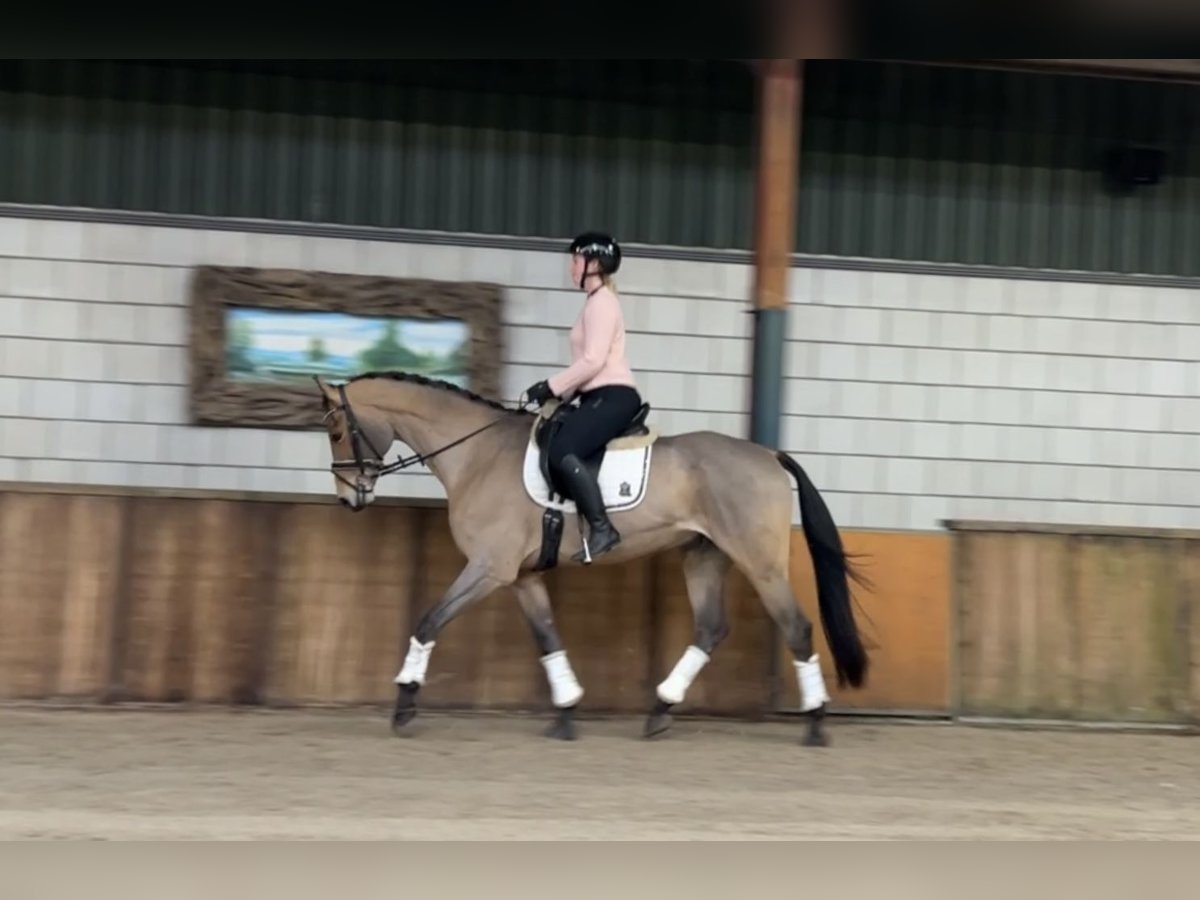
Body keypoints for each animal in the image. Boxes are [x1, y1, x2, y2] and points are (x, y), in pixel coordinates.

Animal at [314, 372, 868, 748]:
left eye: (337, 431)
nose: (349, 498)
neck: (478, 454)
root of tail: (767, 453)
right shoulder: (520, 576)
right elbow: (547, 638)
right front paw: (565, 711)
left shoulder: (489, 568)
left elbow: (429, 620)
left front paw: (404, 703)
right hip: (703, 556)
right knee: (711, 628)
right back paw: (660, 710)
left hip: (761, 563)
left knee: (796, 627)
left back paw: (816, 722)